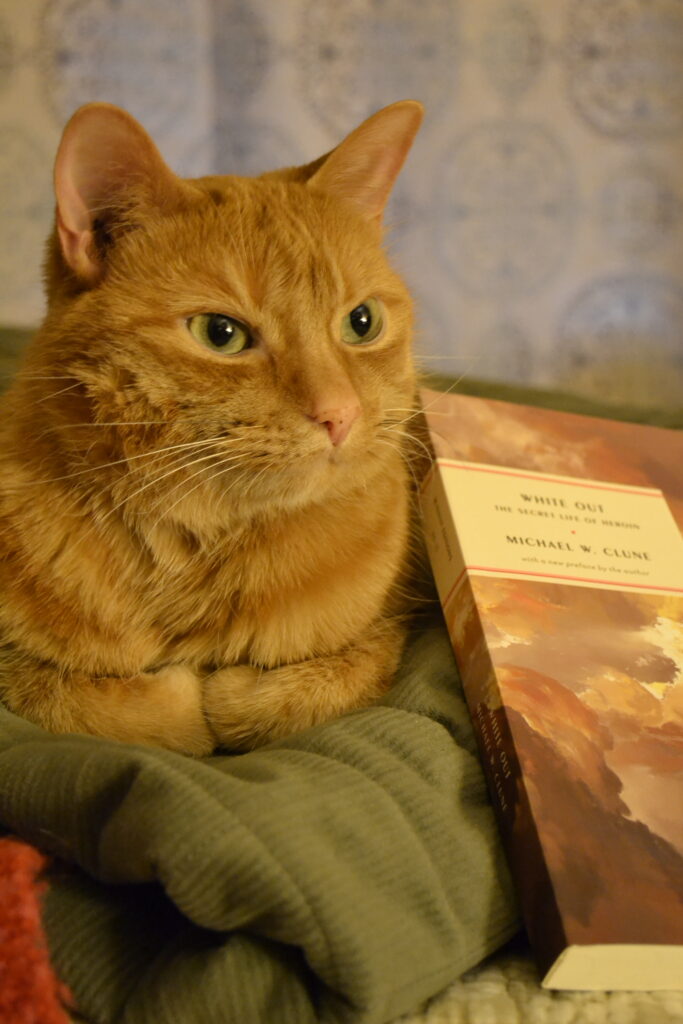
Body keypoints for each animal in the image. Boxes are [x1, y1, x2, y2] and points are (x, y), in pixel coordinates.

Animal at [0, 97, 423, 753]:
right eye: (220, 334)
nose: (340, 413)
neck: (194, 549)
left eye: (361, 322)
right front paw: (174, 700)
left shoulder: (390, 630)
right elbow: (97, 707)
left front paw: (229, 694)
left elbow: (292, 695)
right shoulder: (14, 667)